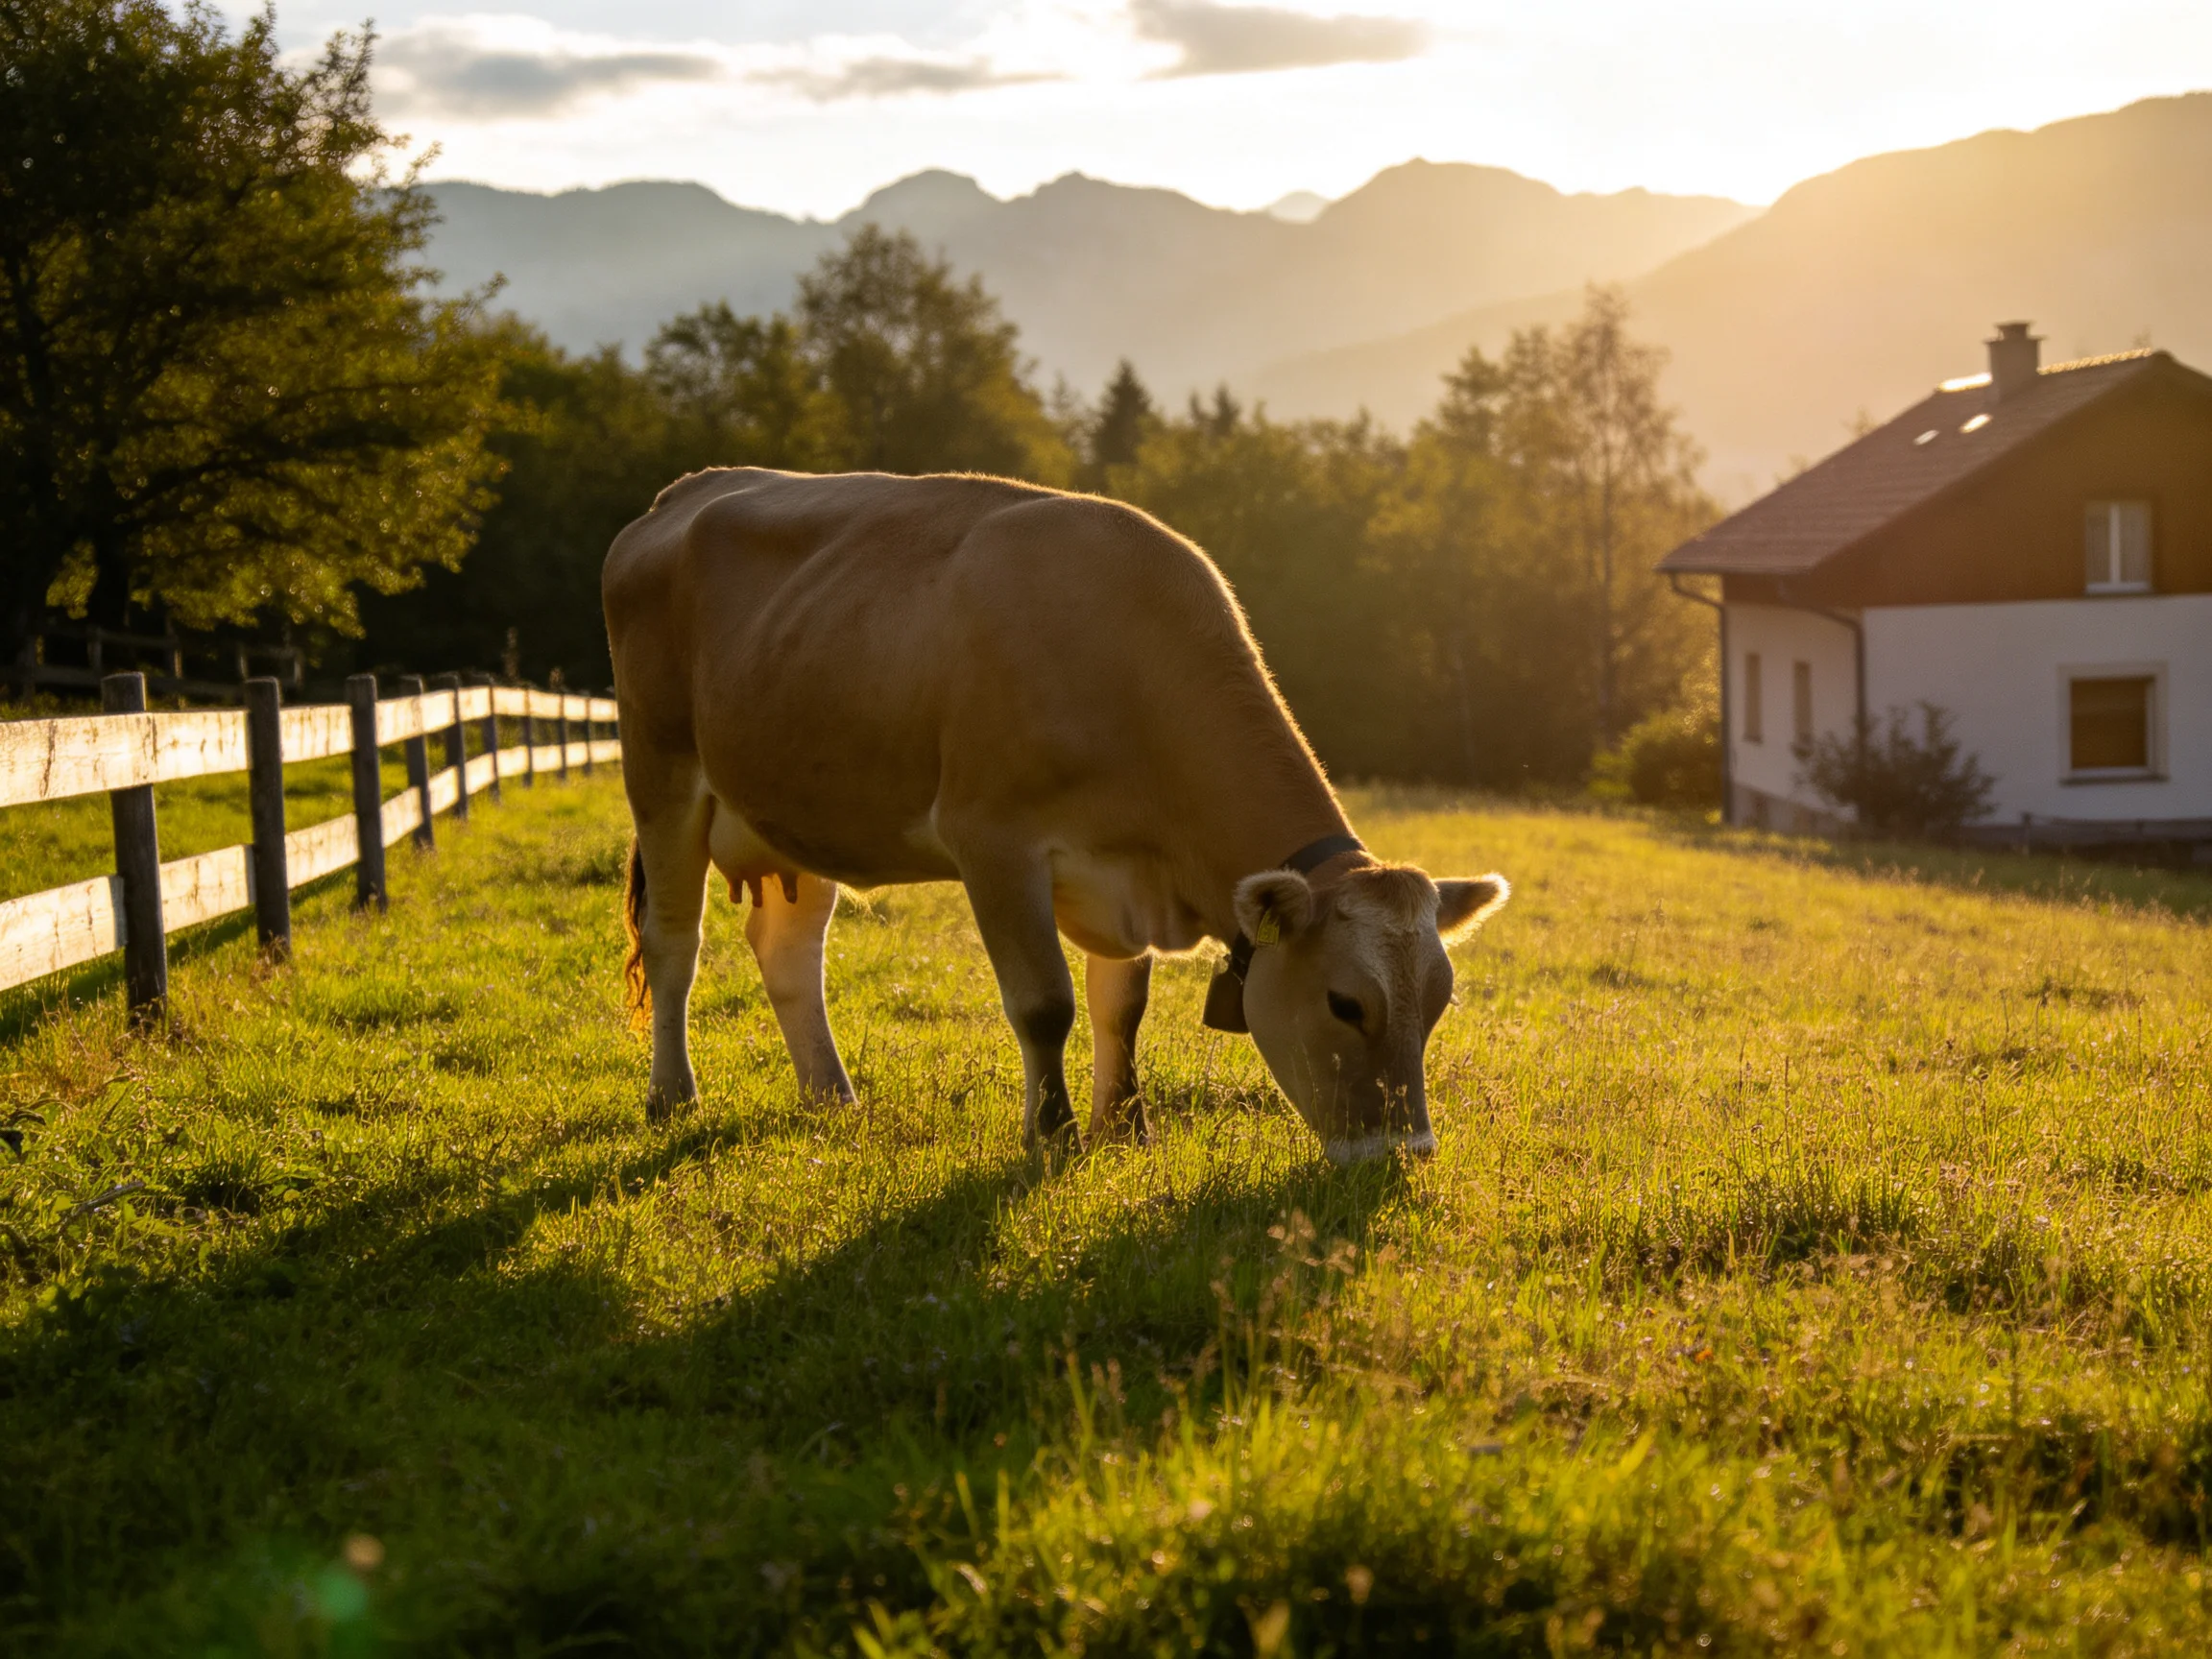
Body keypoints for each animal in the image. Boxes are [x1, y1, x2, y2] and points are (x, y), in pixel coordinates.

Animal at [602, 468, 1509, 1163]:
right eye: (1344, 1004)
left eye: (1438, 1002)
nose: (1402, 1152)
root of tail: (686, 491)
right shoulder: (992, 841)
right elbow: (1045, 1003)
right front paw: (1054, 1133)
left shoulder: (1126, 873)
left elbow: (1122, 1004)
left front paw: (1126, 1126)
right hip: (660, 773)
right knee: (675, 942)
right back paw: (672, 1095)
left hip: (792, 806)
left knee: (789, 949)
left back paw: (831, 1098)